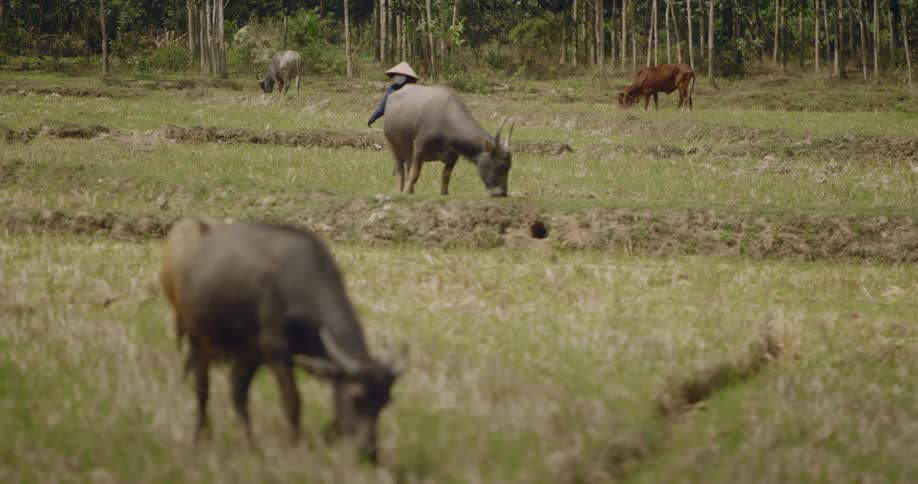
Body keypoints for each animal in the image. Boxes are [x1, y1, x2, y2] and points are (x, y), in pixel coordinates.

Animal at [165, 220, 404, 463]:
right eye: (357, 399)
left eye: (385, 402)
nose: (370, 453)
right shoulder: (277, 354)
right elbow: (293, 402)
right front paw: (295, 444)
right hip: (199, 340)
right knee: (202, 389)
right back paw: (201, 437)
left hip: (247, 355)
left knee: (238, 393)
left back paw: (252, 445)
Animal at [382, 84, 514, 197]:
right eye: (502, 165)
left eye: (509, 167)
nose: (502, 193)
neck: (446, 119)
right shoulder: (420, 146)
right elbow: (415, 173)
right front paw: (405, 192)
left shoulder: (453, 156)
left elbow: (445, 175)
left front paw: (444, 193)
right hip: (393, 147)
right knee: (400, 170)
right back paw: (401, 190)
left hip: (409, 152)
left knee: (408, 167)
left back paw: (412, 191)